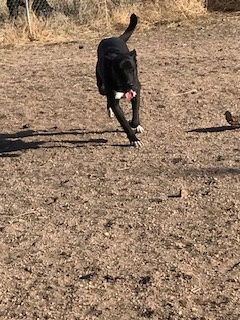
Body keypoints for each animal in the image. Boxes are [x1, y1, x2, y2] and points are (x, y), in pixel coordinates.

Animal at [96, 13, 143, 147]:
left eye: (132, 69)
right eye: (119, 71)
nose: (130, 84)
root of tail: (115, 37)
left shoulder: (136, 90)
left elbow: (135, 113)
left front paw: (135, 124)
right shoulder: (115, 101)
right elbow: (124, 122)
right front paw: (134, 139)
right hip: (101, 86)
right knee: (105, 95)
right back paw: (110, 110)